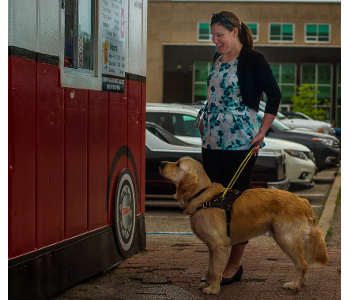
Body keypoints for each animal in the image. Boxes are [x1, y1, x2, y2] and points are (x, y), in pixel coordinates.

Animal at [159, 157, 328, 296]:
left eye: (178, 165)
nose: (160, 163)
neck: (203, 197)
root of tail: (303, 201)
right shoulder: (211, 247)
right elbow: (211, 268)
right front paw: (206, 284)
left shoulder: (219, 244)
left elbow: (216, 270)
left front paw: (213, 289)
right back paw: (302, 282)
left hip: (286, 239)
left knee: (303, 264)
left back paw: (295, 285)